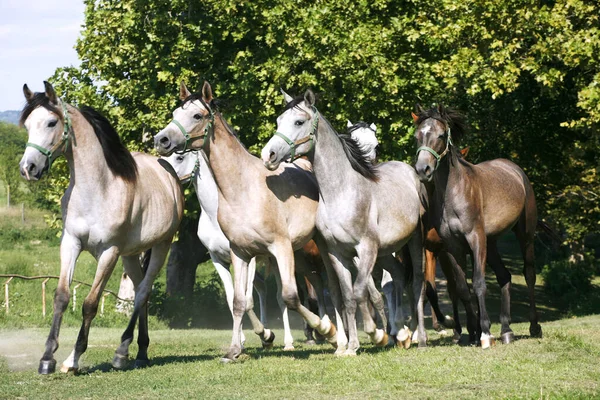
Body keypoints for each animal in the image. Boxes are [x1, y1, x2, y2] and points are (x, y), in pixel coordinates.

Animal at [18, 81, 183, 376]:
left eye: (51, 122)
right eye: (27, 125)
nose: (29, 168)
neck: (97, 189)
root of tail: (169, 174)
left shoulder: (109, 253)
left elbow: (90, 304)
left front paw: (72, 360)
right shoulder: (70, 243)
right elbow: (62, 296)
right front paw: (47, 358)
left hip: (160, 247)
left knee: (142, 292)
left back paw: (121, 353)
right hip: (131, 255)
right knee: (141, 292)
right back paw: (140, 352)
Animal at [154, 82, 342, 362]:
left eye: (197, 115)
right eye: (176, 112)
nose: (161, 140)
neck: (241, 188)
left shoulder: (278, 248)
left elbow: (288, 297)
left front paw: (323, 331)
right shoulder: (239, 253)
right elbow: (238, 300)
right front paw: (235, 349)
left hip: (315, 248)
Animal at [262, 90, 426, 354]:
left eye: (298, 122)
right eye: (278, 121)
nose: (268, 155)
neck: (341, 193)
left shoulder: (365, 249)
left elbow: (361, 293)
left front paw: (375, 334)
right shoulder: (337, 253)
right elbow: (349, 297)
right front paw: (350, 347)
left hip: (413, 241)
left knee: (417, 283)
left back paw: (419, 338)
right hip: (385, 253)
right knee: (399, 276)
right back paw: (401, 333)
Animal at [414, 104, 540, 348]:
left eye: (441, 135)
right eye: (417, 136)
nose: (423, 170)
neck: (454, 192)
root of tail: (514, 169)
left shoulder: (475, 239)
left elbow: (479, 283)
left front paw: (484, 333)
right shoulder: (452, 247)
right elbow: (462, 288)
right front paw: (471, 332)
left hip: (524, 234)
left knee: (529, 273)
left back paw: (534, 326)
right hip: (492, 244)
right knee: (504, 276)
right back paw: (506, 330)